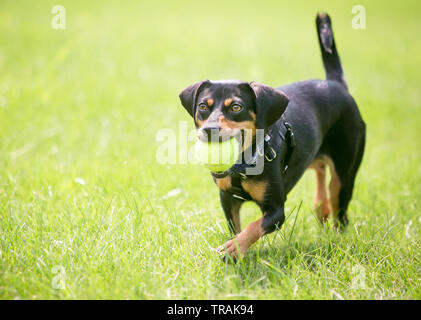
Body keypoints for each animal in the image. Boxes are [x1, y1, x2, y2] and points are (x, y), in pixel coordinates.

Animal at [177, 13, 364, 260]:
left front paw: (234, 247)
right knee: (320, 172)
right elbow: (235, 227)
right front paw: (236, 250)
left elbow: (253, 226)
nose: (210, 130)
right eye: (202, 107)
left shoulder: (276, 210)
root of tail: (335, 83)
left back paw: (336, 236)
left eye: (236, 107)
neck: (242, 164)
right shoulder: (227, 199)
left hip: (345, 174)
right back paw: (320, 207)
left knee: (340, 212)